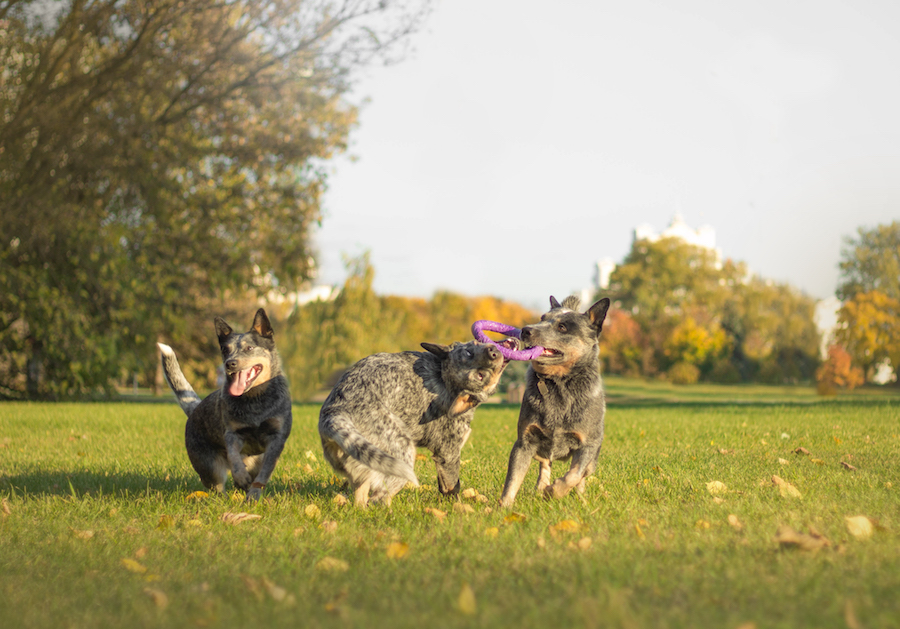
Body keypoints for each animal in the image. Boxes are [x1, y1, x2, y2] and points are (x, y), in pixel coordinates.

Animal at [158, 308, 292, 500]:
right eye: (225, 349)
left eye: (249, 348)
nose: (230, 363)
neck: (254, 401)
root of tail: (195, 409)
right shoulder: (232, 432)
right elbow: (234, 456)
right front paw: (241, 476)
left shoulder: (277, 438)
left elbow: (264, 473)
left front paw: (253, 494)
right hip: (208, 467)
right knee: (217, 486)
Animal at [320, 338, 510, 506]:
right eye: (480, 375)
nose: (493, 352)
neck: (443, 378)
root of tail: (334, 413)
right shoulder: (449, 453)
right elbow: (453, 487)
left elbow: (445, 487)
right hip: (402, 454)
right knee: (379, 498)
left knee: (362, 499)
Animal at [500, 294, 612, 506]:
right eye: (542, 319)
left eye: (562, 327)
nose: (526, 330)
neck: (558, 384)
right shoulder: (524, 441)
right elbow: (513, 479)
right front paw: (503, 507)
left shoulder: (587, 444)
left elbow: (574, 475)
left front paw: (555, 491)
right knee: (545, 464)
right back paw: (541, 486)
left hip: (594, 457)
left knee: (582, 475)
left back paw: (579, 498)